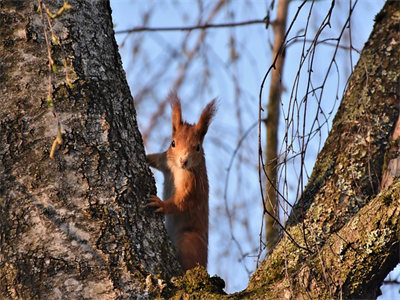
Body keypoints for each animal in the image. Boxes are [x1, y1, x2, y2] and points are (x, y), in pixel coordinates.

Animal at [146, 92, 216, 272]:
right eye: (173, 143)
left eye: (198, 147)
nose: (183, 160)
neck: (178, 169)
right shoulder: (165, 160)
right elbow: (155, 159)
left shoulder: (193, 184)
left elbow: (183, 202)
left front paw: (161, 204)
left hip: (189, 241)